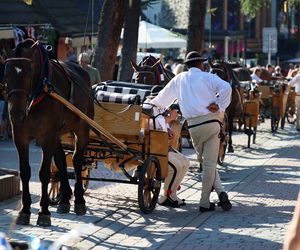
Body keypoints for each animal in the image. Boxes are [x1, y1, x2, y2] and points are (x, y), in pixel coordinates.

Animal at [2, 38, 93, 227]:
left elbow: (44, 173)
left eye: (29, 73)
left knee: (77, 160)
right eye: (6, 73)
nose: (16, 113)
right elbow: (25, 172)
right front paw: (25, 210)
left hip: (82, 128)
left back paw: (79, 200)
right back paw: (65, 198)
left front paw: (44, 211)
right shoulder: (20, 136)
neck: (39, 92)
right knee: (61, 160)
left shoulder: (47, 136)